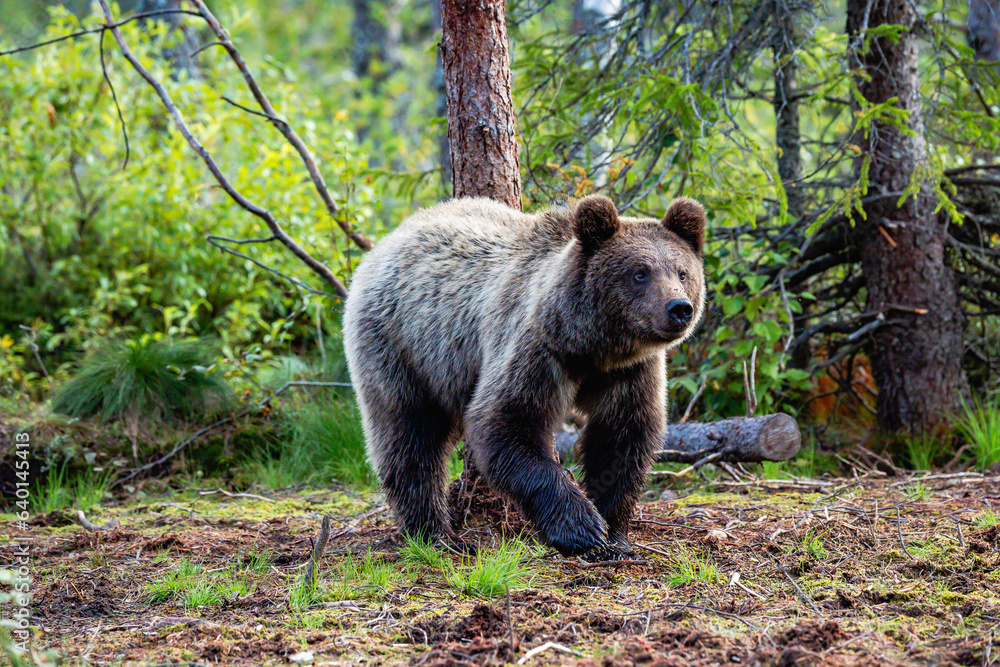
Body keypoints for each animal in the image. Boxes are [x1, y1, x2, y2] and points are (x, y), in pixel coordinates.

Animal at [342, 194, 706, 559]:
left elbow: (623, 437)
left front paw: (613, 534)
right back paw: (434, 533)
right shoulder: (537, 350)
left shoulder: (630, 372)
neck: (592, 347)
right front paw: (581, 527)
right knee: (408, 435)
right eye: (640, 273)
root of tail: (388, 241)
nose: (679, 308)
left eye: (682, 272)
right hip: (402, 346)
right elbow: (507, 425)